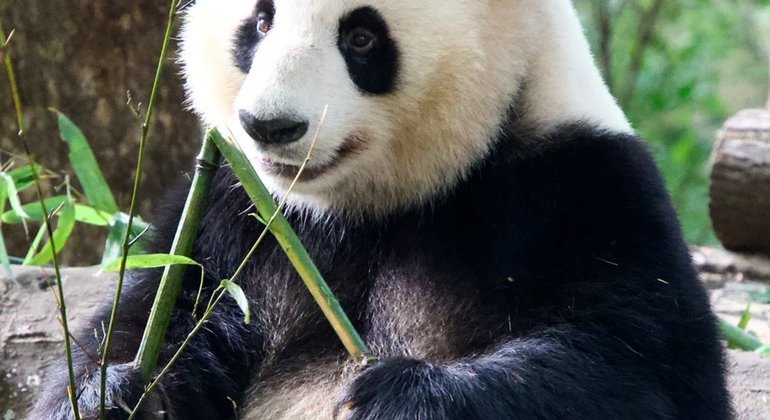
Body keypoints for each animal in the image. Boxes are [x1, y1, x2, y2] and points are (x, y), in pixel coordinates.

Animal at [29, 0, 731, 419]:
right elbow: (151, 313)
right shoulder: (226, 209)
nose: (270, 127)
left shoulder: (582, 189)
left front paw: (399, 396)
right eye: (260, 22)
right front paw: (118, 392)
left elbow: (637, 369)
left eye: (362, 36)